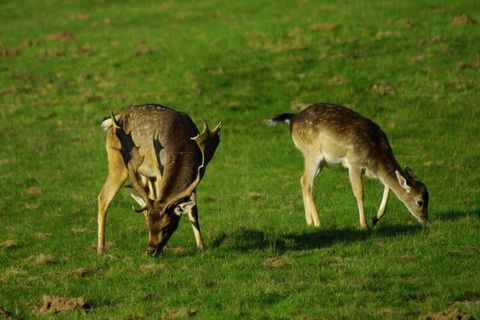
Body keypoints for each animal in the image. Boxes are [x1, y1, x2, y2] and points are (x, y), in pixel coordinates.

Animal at [96, 104, 223, 256]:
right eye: (149, 226)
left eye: (167, 227)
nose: (150, 250)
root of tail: (114, 119)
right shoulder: (159, 172)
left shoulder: (195, 177)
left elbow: (193, 211)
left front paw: (201, 247)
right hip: (118, 162)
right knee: (103, 197)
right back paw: (100, 248)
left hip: (144, 174)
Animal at [270, 104, 432, 229]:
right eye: (420, 201)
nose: (425, 220)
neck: (375, 158)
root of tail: (293, 119)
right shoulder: (354, 162)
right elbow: (359, 192)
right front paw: (364, 224)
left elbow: (388, 185)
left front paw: (376, 218)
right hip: (312, 152)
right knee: (306, 182)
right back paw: (318, 223)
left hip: (320, 161)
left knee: (302, 180)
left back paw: (309, 222)